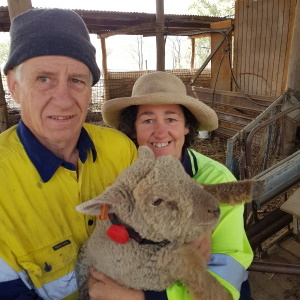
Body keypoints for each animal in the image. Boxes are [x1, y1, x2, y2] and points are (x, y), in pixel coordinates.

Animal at [77, 145, 262, 298]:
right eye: (157, 201)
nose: (214, 210)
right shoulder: (148, 275)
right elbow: (189, 264)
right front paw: (221, 295)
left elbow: (206, 186)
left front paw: (249, 187)